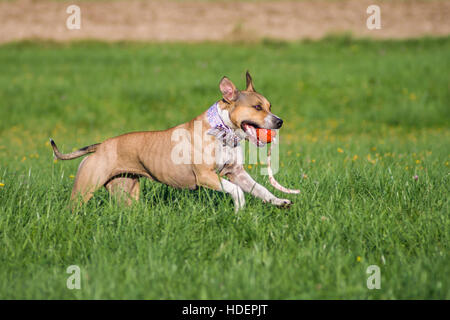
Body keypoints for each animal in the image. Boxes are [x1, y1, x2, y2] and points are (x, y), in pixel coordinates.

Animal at [51, 73, 294, 212]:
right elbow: (236, 190)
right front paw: (240, 207)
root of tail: (100, 146)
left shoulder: (236, 173)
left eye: (269, 106)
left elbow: (260, 188)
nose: (279, 121)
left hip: (125, 190)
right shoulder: (206, 177)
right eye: (257, 107)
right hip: (85, 188)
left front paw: (278, 201)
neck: (223, 131)